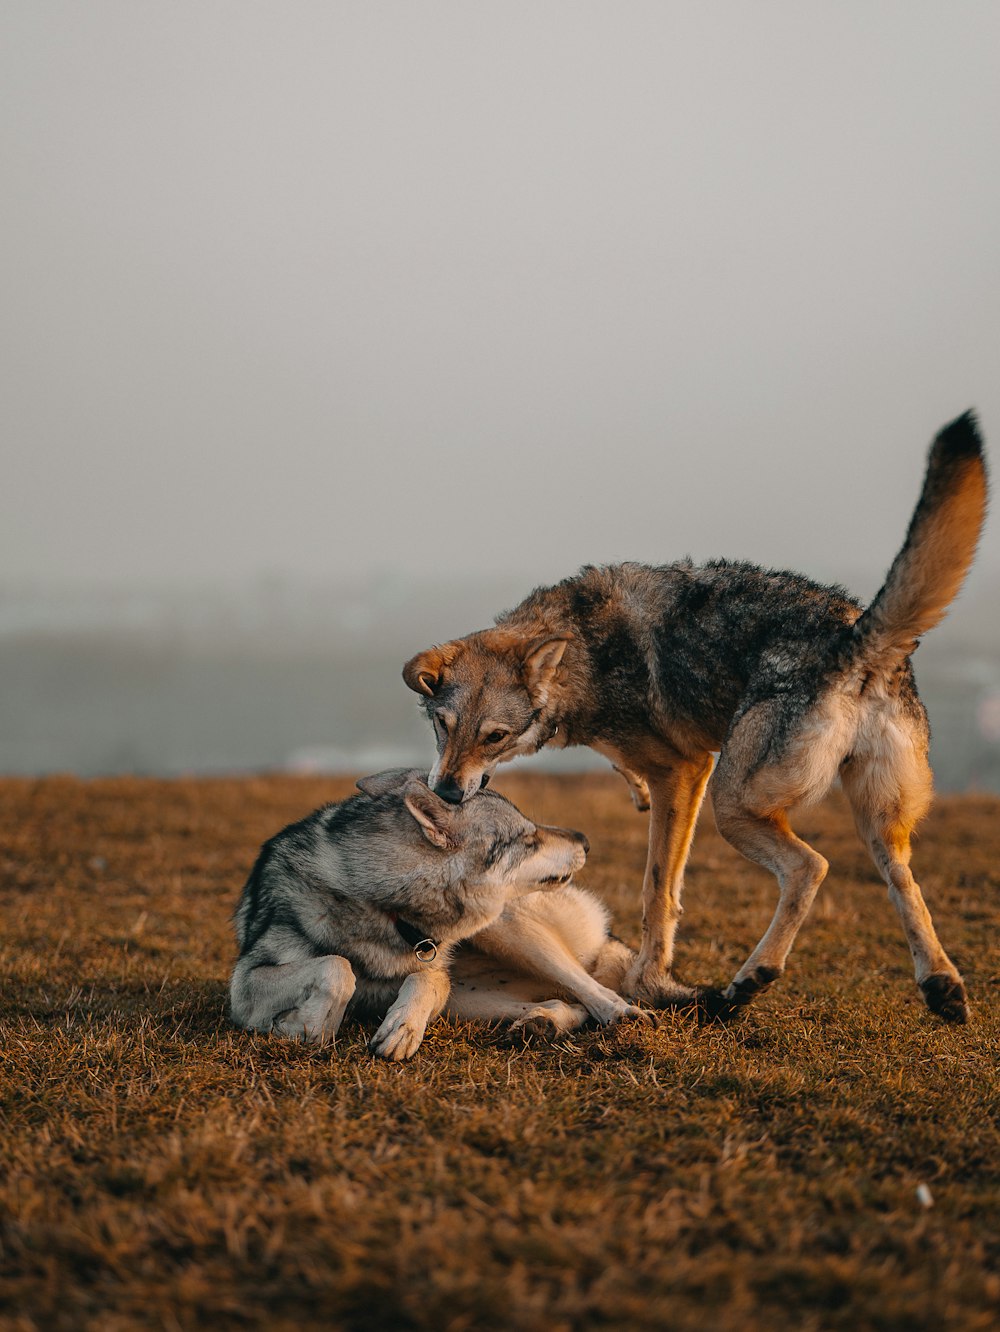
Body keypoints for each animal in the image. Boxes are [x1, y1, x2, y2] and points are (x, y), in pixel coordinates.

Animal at [230, 772, 644, 1060]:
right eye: (527, 839)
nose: (586, 841)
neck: (389, 912)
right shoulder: (244, 985)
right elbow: (337, 966)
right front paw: (309, 1024)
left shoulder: (434, 969)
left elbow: (426, 979)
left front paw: (402, 1028)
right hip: (472, 1002)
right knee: (569, 1004)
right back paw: (541, 1025)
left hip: (506, 931)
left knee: (591, 991)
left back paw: (624, 1014)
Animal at [402, 412, 990, 1017]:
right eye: (443, 726)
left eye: (495, 736)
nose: (445, 792)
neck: (582, 649)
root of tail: (857, 640)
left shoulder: (685, 773)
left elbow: (658, 889)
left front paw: (649, 982)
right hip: (880, 821)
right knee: (905, 884)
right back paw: (942, 986)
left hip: (733, 806)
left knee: (811, 867)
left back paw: (751, 979)